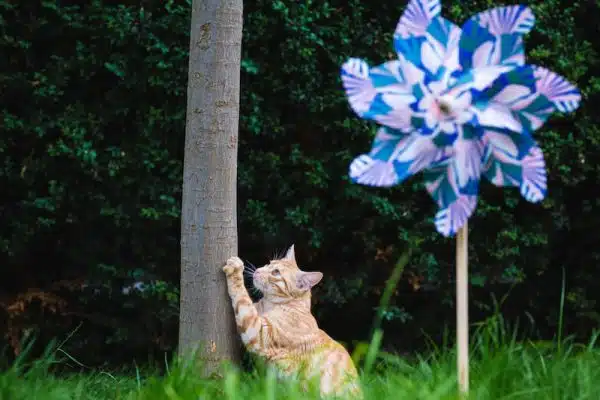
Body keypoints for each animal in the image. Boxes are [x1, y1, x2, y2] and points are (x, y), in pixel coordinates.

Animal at [221, 244, 358, 396]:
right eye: (269, 263)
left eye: (276, 272)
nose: (257, 270)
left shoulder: (259, 332)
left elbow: (242, 297)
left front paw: (236, 269)